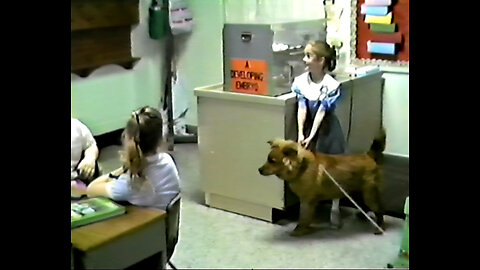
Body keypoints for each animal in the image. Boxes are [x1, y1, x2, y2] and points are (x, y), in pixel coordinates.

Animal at [258, 129, 386, 236]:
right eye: (268, 159)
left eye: (272, 161)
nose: (259, 170)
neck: (302, 168)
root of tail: (369, 156)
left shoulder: (307, 201)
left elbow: (303, 218)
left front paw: (299, 230)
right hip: (358, 192)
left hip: (369, 194)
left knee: (379, 210)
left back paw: (379, 227)